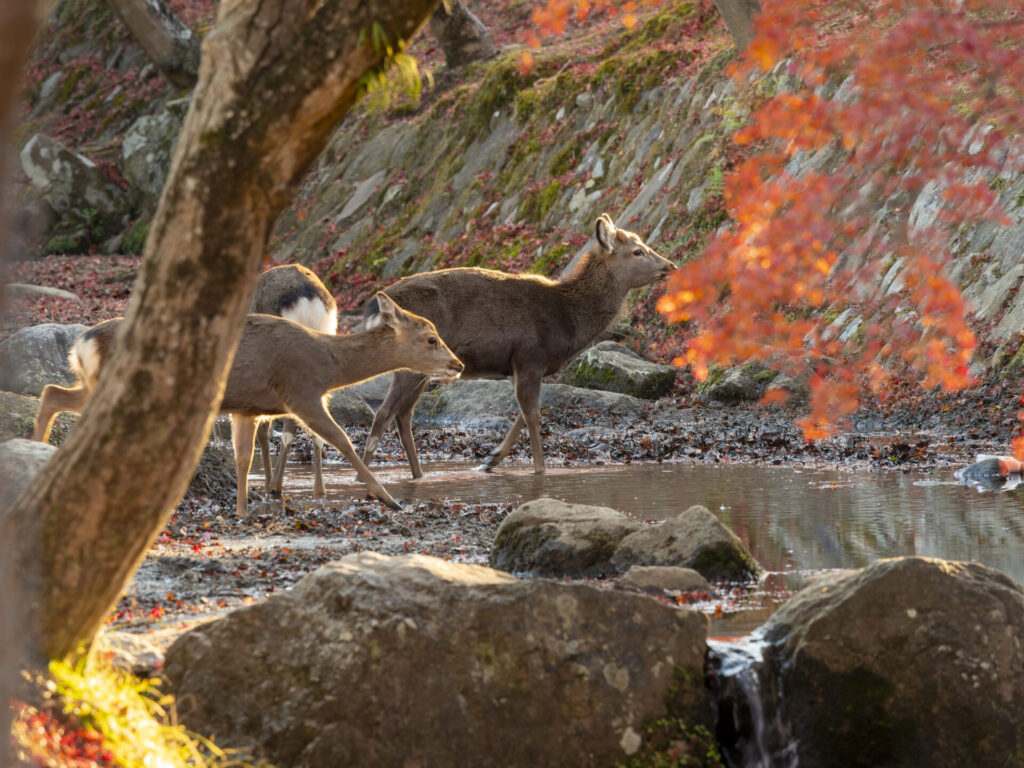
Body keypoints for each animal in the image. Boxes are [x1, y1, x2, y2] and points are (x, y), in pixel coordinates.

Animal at [33, 294, 464, 518]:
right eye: (430, 338)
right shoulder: (301, 391)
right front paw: (387, 497)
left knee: (51, 391)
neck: (328, 365)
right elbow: (341, 439)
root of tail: (83, 341)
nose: (458, 364)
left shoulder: (247, 407)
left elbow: (243, 457)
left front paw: (241, 510)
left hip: (94, 384)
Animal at [360, 214, 671, 479]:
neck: (568, 320)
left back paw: (418, 474)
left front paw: (491, 459)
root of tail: (378, 305)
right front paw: (539, 469)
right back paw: (365, 476)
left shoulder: (518, 366)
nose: (671, 266)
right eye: (638, 251)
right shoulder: (531, 355)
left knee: (403, 415)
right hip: (412, 361)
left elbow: (522, 413)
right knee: (384, 414)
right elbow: (533, 415)